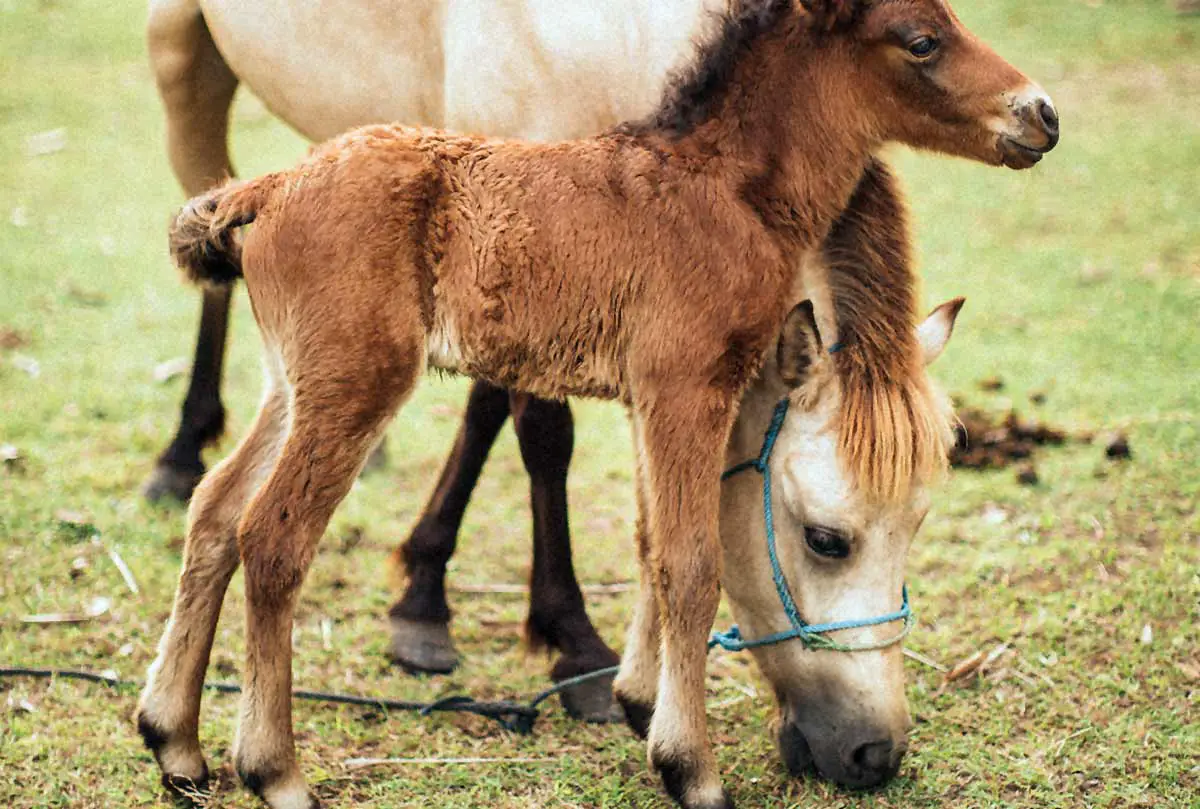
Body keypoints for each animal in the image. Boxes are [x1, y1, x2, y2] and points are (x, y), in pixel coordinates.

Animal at [140, 3, 1056, 801]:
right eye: (923, 39)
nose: (1039, 113)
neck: (722, 186)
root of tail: (270, 186)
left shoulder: (655, 396)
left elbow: (652, 538)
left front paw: (642, 705)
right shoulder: (688, 385)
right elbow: (690, 561)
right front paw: (691, 769)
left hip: (293, 384)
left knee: (216, 510)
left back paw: (174, 740)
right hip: (351, 381)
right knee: (273, 536)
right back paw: (275, 771)